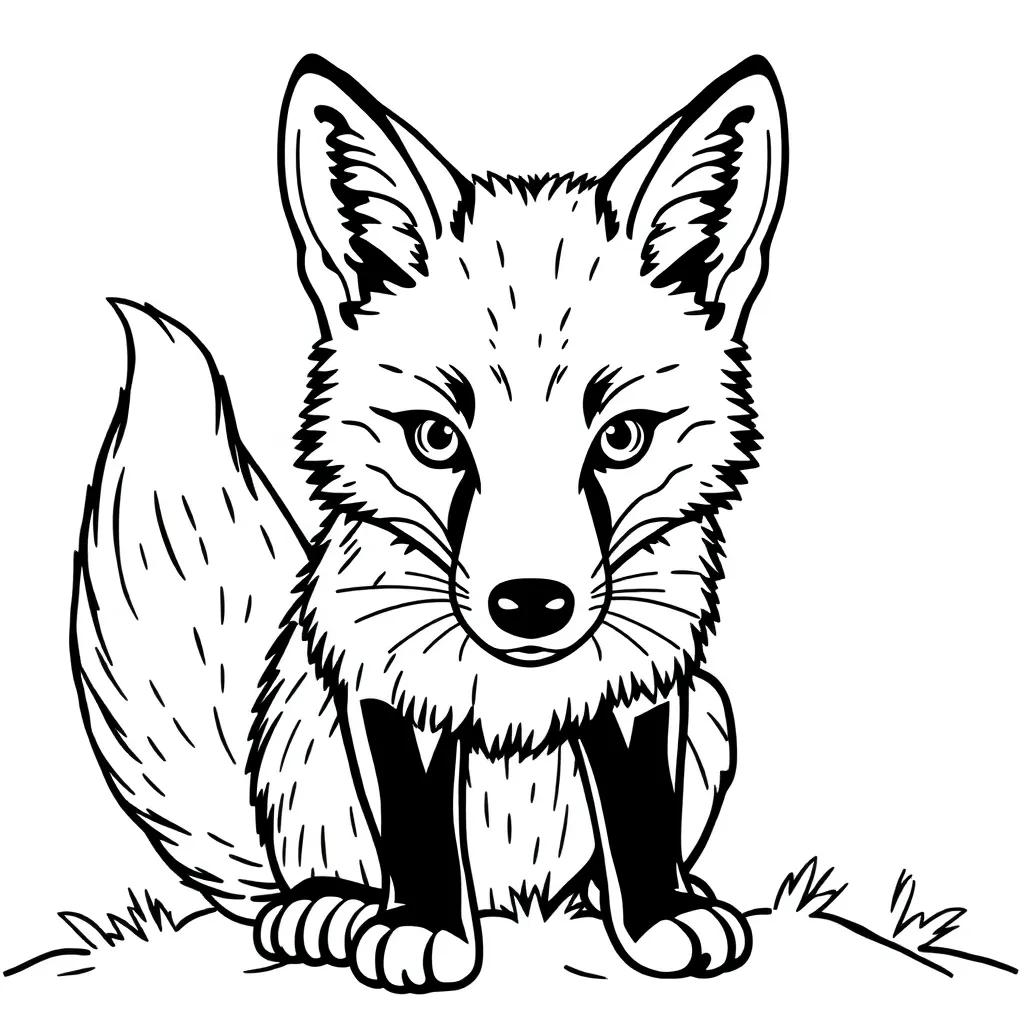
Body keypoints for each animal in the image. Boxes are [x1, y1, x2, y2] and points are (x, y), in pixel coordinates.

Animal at [71, 54, 788, 992]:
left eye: (621, 437)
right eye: (438, 437)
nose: (532, 604)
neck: (520, 693)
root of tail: (516, 901)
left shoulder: (642, 687)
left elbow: (637, 821)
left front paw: (659, 915)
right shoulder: (388, 683)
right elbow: (415, 832)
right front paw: (418, 930)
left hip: (712, 715)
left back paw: (608, 899)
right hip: (304, 751)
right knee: (311, 873)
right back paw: (327, 910)